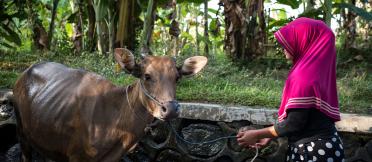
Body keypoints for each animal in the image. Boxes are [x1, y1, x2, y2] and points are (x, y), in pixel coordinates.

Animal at [13, 48, 208, 162]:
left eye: (177, 78)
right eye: (147, 76)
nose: (171, 109)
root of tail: (25, 72)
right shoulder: (76, 156)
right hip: (22, 134)